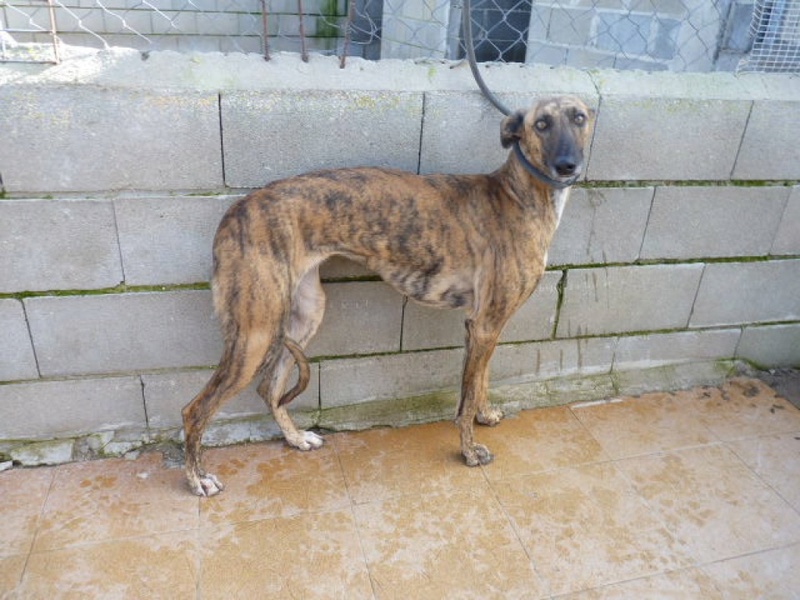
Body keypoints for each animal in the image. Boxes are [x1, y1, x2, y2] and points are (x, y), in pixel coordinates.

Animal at [181, 95, 592, 496]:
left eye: (580, 117)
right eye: (541, 123)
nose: (567, 166)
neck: (517, 195)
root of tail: (238, 208)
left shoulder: (485, 325)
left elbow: (480, 382)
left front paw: (485, 415)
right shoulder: (485, 324)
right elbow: (465, 398)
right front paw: (470, 451)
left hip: (304, 312)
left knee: (270, 388)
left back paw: (296, 438)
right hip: (257, 331)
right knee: (195, 410)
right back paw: (198, 478)